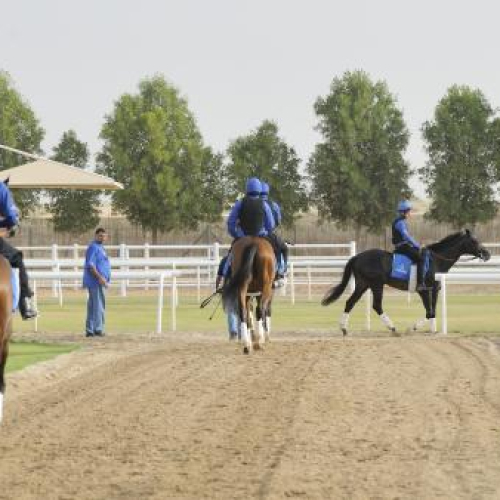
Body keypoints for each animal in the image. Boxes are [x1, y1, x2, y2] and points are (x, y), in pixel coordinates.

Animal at [322, 230, 490, 336]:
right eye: (474, 241)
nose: (487, 254)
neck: (436, 260)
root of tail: (357, 257)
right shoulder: (424, 291)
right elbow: (430, 312)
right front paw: (412, 329)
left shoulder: (434, 290)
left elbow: (432, 311)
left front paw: (433, 330)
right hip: (376, 285)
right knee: (376, 305)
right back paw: (392, 328)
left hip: (363, 284)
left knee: (350, 302)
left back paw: (344, 329)